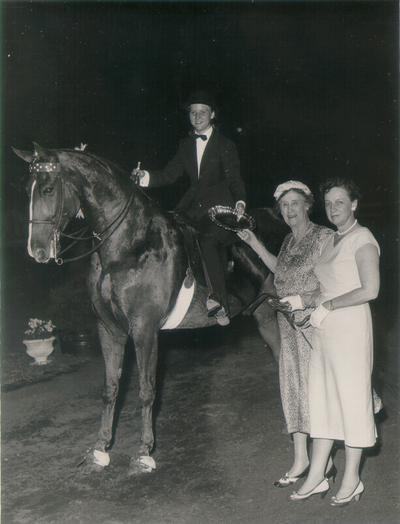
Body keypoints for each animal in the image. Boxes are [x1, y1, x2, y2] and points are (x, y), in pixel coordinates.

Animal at [13, 143, 288, 474]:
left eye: (48, 189)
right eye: (26, 189)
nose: (37, 250)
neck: (129, 244)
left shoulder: (144, 329)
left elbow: (146, 389)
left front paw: (144, 452)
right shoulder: (109, 329)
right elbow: (111, 387)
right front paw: (100, 449)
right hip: (264, 314)